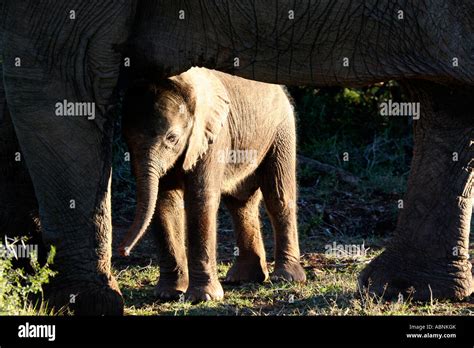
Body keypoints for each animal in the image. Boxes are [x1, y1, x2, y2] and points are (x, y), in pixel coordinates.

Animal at [117, 68, 304, 302]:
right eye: (127, 141)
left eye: (172, 138)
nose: (122, 251)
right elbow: (164, 203)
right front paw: (168, 293)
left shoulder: (213, 139)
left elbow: (200, 199)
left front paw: (203, 298)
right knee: (241, 203)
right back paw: (243, 278)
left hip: (281, 131)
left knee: (277, 196)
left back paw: (286, 278)